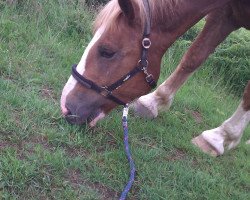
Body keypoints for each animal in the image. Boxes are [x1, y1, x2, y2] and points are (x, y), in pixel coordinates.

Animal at [60, 0, 248, 156]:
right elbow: (193, 57)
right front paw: (153, 102)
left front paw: (219, 137)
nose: (65, 107)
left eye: (107, 52)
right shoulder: (226, 13)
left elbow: (247, 95)